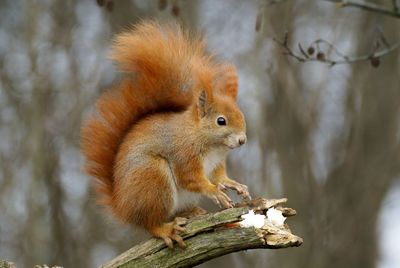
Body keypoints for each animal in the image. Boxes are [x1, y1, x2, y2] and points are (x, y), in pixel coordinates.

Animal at [80, 21, 250, 249]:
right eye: (221, 121)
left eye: (241, 115)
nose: (242, 140)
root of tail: (123, 208)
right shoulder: (183, 154)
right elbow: (191, 178)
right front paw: (214, 191)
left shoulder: (216, 164)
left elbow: (219, 177)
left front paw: (234, 184)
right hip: (153, 179)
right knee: (151, 223)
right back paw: (166, 229)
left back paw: (191, 212)